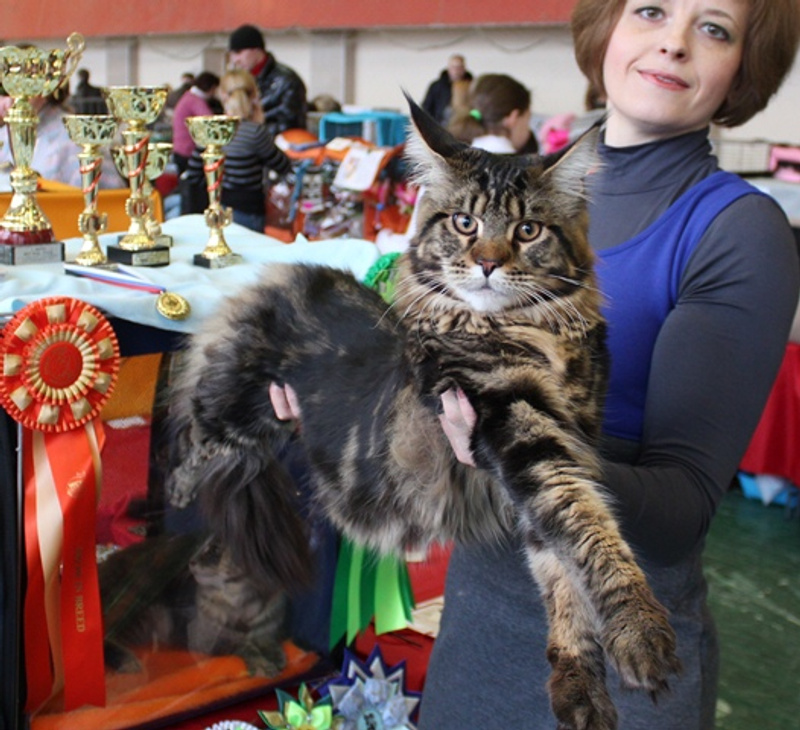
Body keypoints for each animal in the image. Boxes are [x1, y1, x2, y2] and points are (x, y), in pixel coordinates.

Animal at [99, 533, 288, 677]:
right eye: (200, 545)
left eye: (215, 549)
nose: (191, 561)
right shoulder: (205, 634)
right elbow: (244, 645)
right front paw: (262, 665)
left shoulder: (268, 627)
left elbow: (266, 639)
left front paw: (275, 656)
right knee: (105, 638)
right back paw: (127, 660)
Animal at [164, 98, 681, 730]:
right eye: (464, 223)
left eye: (527, 230)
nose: (487, 264)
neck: (533, 334)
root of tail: (285, 273)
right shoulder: (516, 426)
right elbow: (588, 532)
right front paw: (640, 633)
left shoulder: (556, 452)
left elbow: (566, 579)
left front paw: (580, 690)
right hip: (239, 403)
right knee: (195, 434)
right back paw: (180, 486)